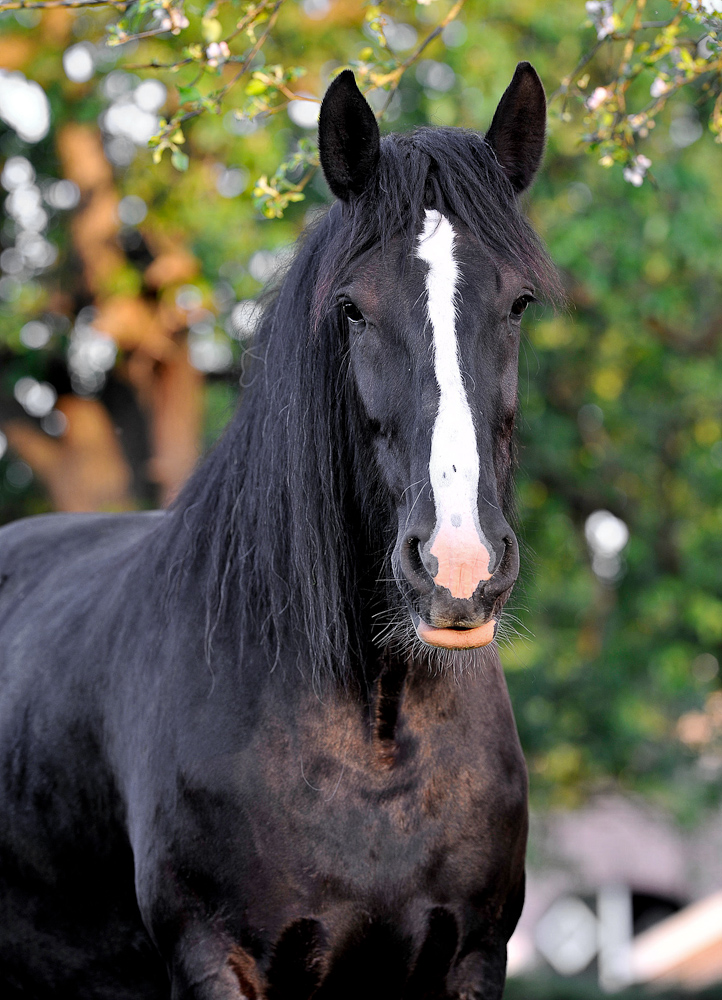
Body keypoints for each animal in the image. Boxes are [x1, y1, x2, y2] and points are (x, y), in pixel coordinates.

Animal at [0, 64, 561, 999]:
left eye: (517, 302)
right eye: (354, 310)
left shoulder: (473, 958)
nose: (457, 568)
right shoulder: (219, 960)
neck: (375, 726)